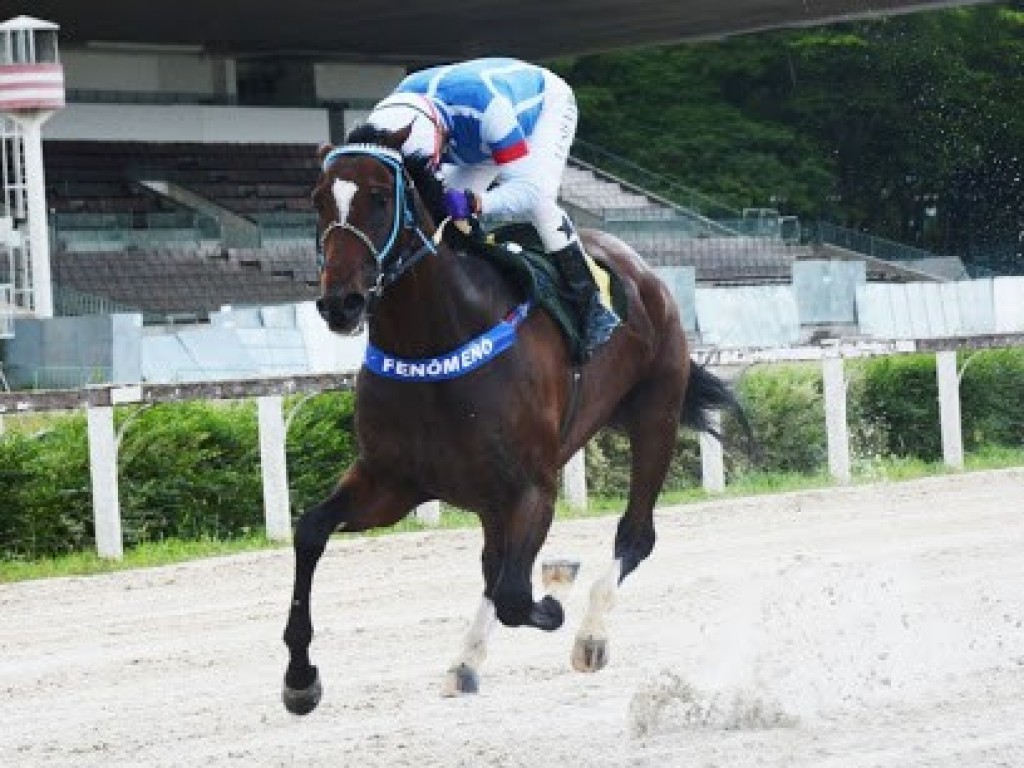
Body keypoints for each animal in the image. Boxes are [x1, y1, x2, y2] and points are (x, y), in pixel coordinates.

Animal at [284, 124, 749, 716]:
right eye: (318, 200)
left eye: (380, 197)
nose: (340, 303)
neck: (433, 343)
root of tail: (641, 268)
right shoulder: (390, 482)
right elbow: (310, 532)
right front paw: (300, 678)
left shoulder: (532, 487)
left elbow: (515, 594)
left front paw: (554, 598)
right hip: (491, 493)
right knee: (496, 560)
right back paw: (465, 663)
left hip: (655, 417)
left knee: (633, 536)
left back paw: (589, 636)